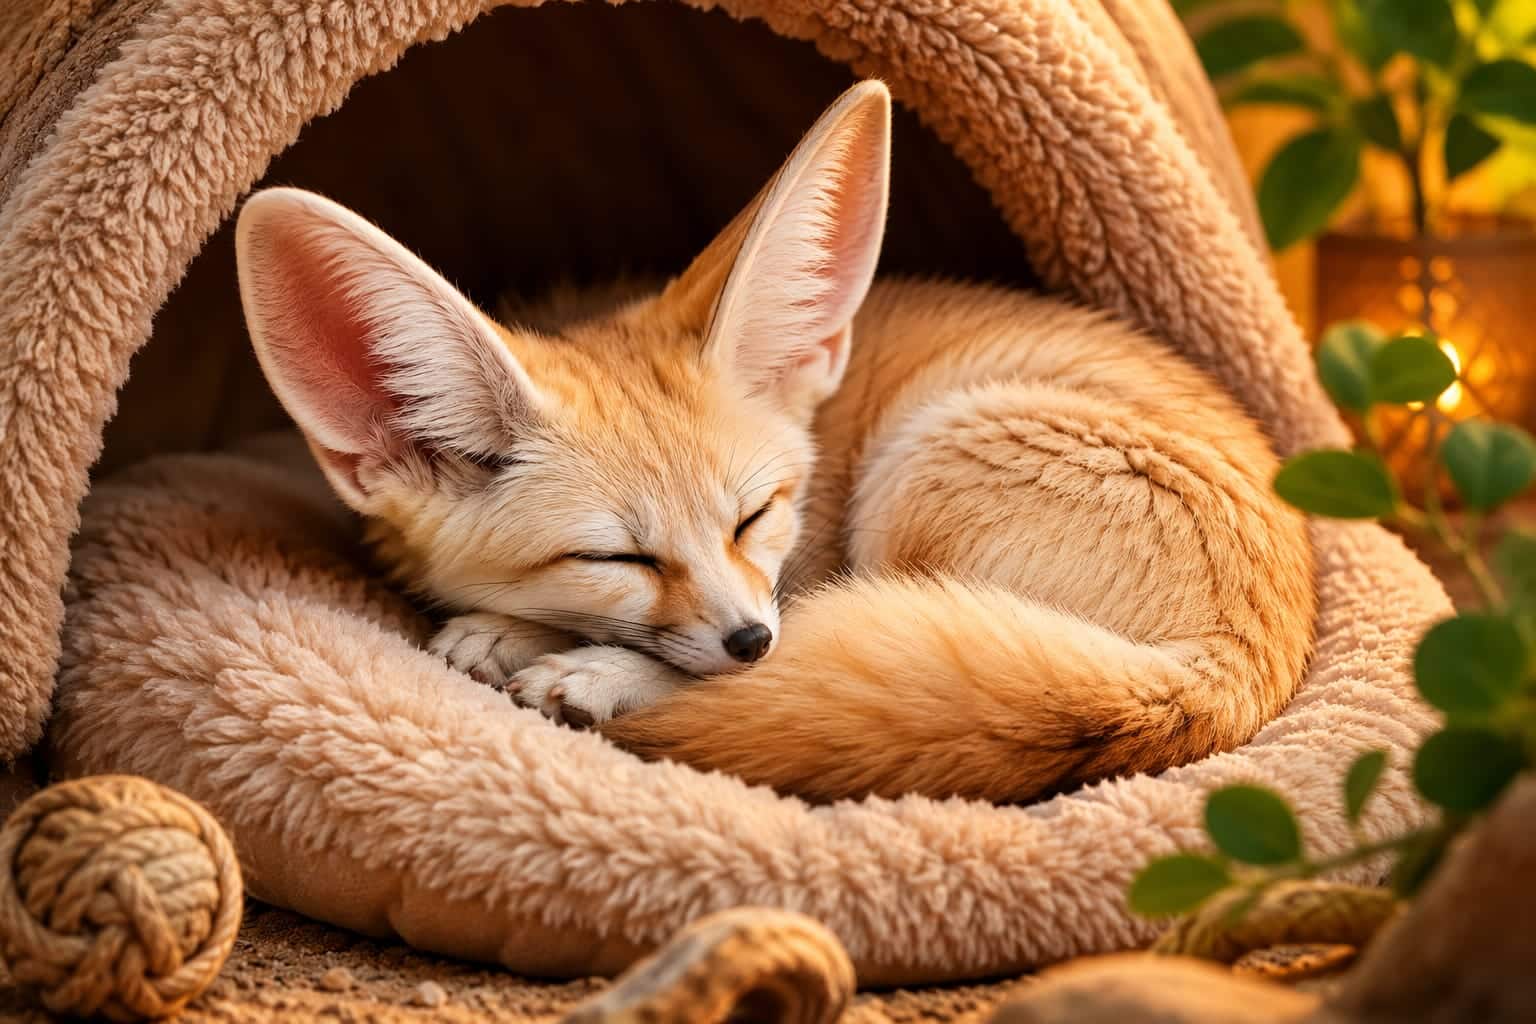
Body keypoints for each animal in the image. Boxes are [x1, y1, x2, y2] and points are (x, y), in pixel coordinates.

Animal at [234, 81, 1315, 804]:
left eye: (754, 516)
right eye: (617, 557)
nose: (751, 639)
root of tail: (1223, 674)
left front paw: (554, 651)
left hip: (923, 462)